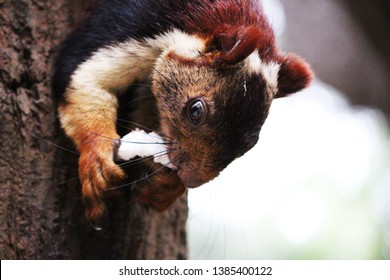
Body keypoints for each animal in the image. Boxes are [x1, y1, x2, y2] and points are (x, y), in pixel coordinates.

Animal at [52, 0, 314, 221]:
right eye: (195, 110)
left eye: (251, 143)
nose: (191, 180)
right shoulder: (130, 25)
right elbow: (84, 77)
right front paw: (97, 160)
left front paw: (166, 187)